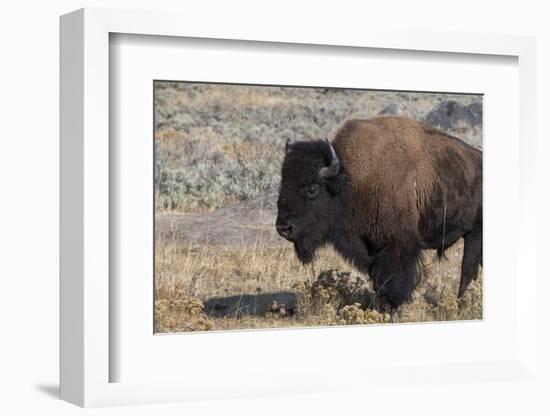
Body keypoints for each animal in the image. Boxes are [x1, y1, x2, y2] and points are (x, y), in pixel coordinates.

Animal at [276, 115, 484, 308]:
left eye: (312, 189)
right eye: (283, 183)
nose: (283, 228)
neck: (352, 179)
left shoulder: (397, 245)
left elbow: (391, 282)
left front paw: (392, 308)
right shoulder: (369, 247)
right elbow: (378, 281)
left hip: (474, 234)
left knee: (467, 270)